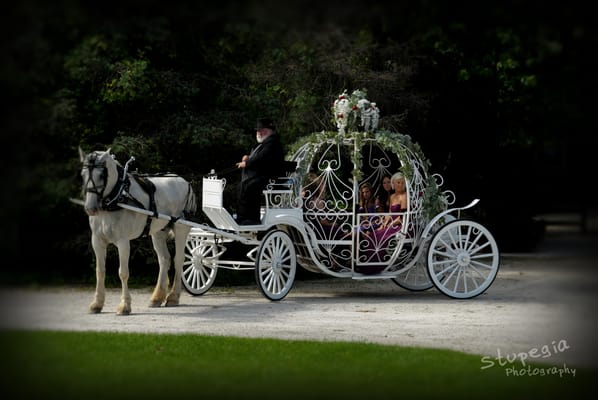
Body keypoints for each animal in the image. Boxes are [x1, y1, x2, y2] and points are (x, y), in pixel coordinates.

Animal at [78, 148, 197, 316]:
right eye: (82, 175)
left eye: (101, 175)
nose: (90, 208)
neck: (117, 198)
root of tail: (185, 182)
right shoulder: (97, 240)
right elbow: (100, 271)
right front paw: (97, 304)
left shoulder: (123, 241)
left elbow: (123, 272)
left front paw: (124, 306)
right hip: (158, 231)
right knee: (164, 259)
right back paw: (157, 298)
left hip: (181, 228)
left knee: (178, 260)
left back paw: (173, 297)